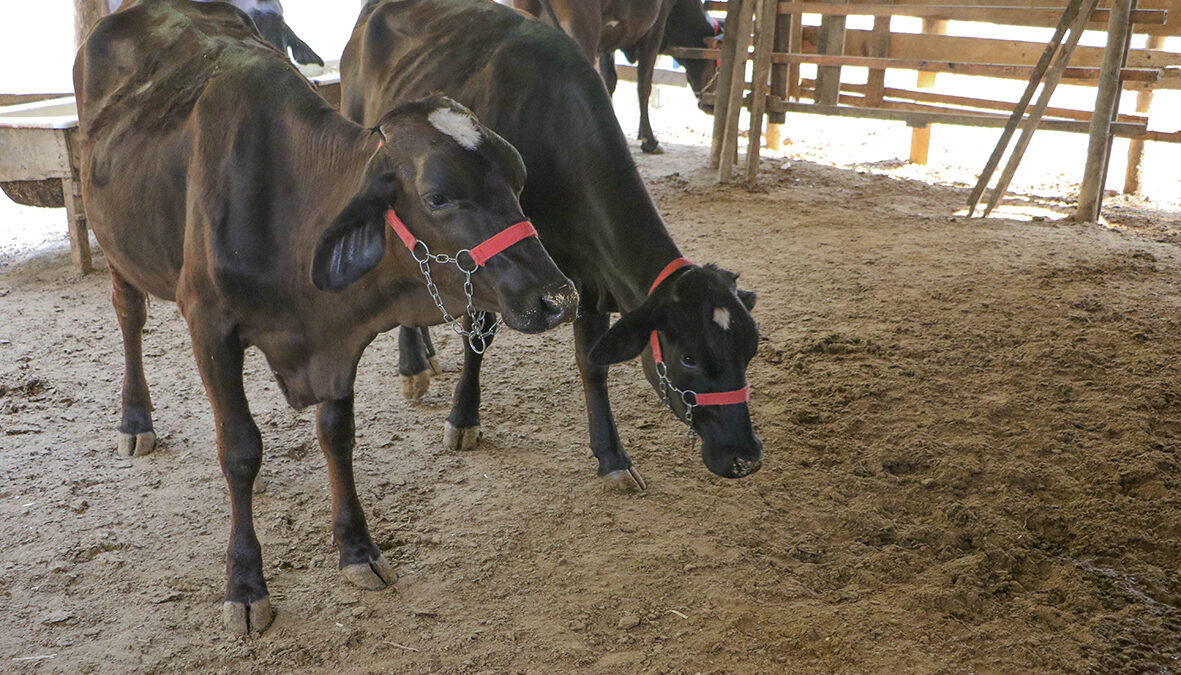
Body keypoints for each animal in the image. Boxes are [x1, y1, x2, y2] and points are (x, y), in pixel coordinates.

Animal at [73, 0, 576, 632]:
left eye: (519, 176)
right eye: (437, 196)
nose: (557, 298)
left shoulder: (340, 338)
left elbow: (336, 434)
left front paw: (357, 548)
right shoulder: (209, 325)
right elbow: (240, 448)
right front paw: (245, 584)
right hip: (116, 247)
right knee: (130, 317)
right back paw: (134, 420)